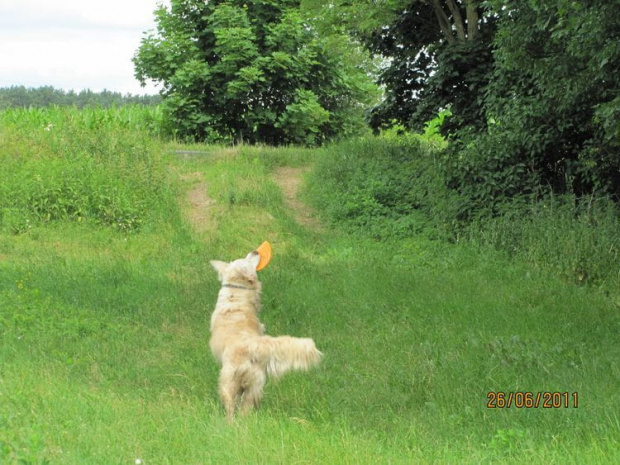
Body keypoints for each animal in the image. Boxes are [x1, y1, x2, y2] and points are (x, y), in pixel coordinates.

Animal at [209, 250, 322, 420]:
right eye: (246, 259)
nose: (255, 251)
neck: (236, 292)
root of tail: (251, 346)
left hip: (227, 382)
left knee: (231, 408)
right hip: (255, 383)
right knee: (245, 408)